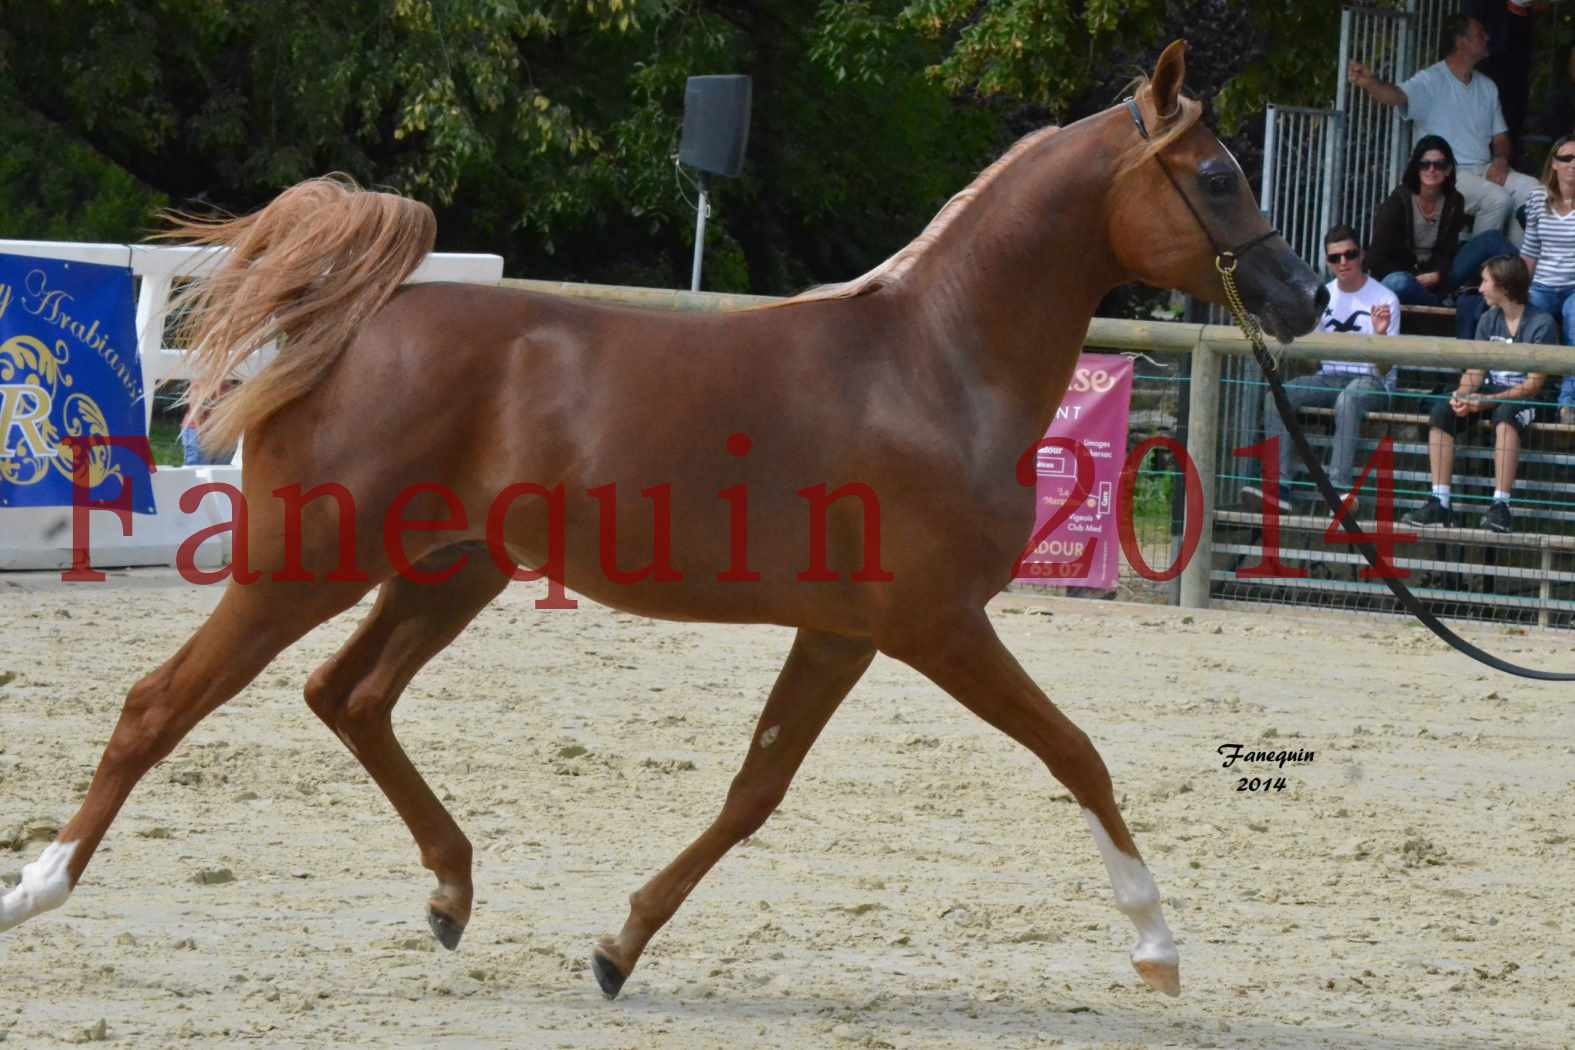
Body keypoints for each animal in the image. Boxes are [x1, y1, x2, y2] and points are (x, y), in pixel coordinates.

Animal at [0, 45, 1323, 1001]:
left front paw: (617, 946)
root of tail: (360, 321)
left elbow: (753, 793)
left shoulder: (844, 634)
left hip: (448, 572)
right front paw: (1156, 947)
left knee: (350, 696)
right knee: (162, 705)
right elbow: (1075, 753)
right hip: (307, 564)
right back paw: (40, 888)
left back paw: (452, 895)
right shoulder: (939, 627)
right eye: (1217, 177)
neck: (935, 364)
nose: (1302, 295)